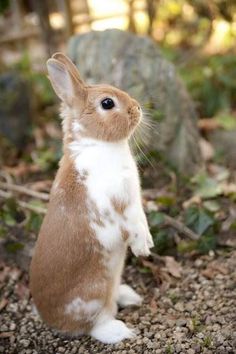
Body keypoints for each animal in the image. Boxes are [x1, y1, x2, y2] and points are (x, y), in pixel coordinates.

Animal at [29, 51, 154, 342]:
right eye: (107, 103)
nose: (137, 108)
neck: (99, 143)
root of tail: (51, 319)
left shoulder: (135, 200)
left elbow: (142, 220)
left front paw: (148, 244)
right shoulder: (122, 204)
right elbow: (134, 225)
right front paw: (143, 248)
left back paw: (130, 296)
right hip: (94, 294)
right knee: (94, 326)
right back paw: (121, 331)